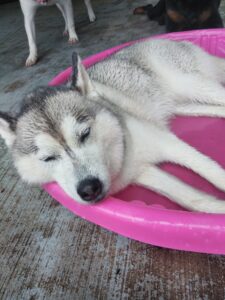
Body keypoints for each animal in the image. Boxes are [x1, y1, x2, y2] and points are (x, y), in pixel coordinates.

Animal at [1, 39, 225, 213]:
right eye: (48, 158)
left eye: (85, 133)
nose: (89, 189)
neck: (120, 151)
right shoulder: (142, 172)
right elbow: (195, 200)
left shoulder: (169, 144)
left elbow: (211, 170)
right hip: (183, 104)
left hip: (191, 83)